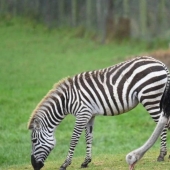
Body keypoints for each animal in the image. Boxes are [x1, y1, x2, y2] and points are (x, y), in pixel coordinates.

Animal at [27, 56, 170, 169]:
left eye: (34, 140)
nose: (34, 166)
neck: (66, 100)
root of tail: (161, 63)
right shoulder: (89, 115)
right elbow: (89, 137)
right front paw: (86, 162)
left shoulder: (82, 113)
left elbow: (74, 139)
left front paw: (65, 164)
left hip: (151, 98)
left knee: (162, 124)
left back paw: (161, 155)